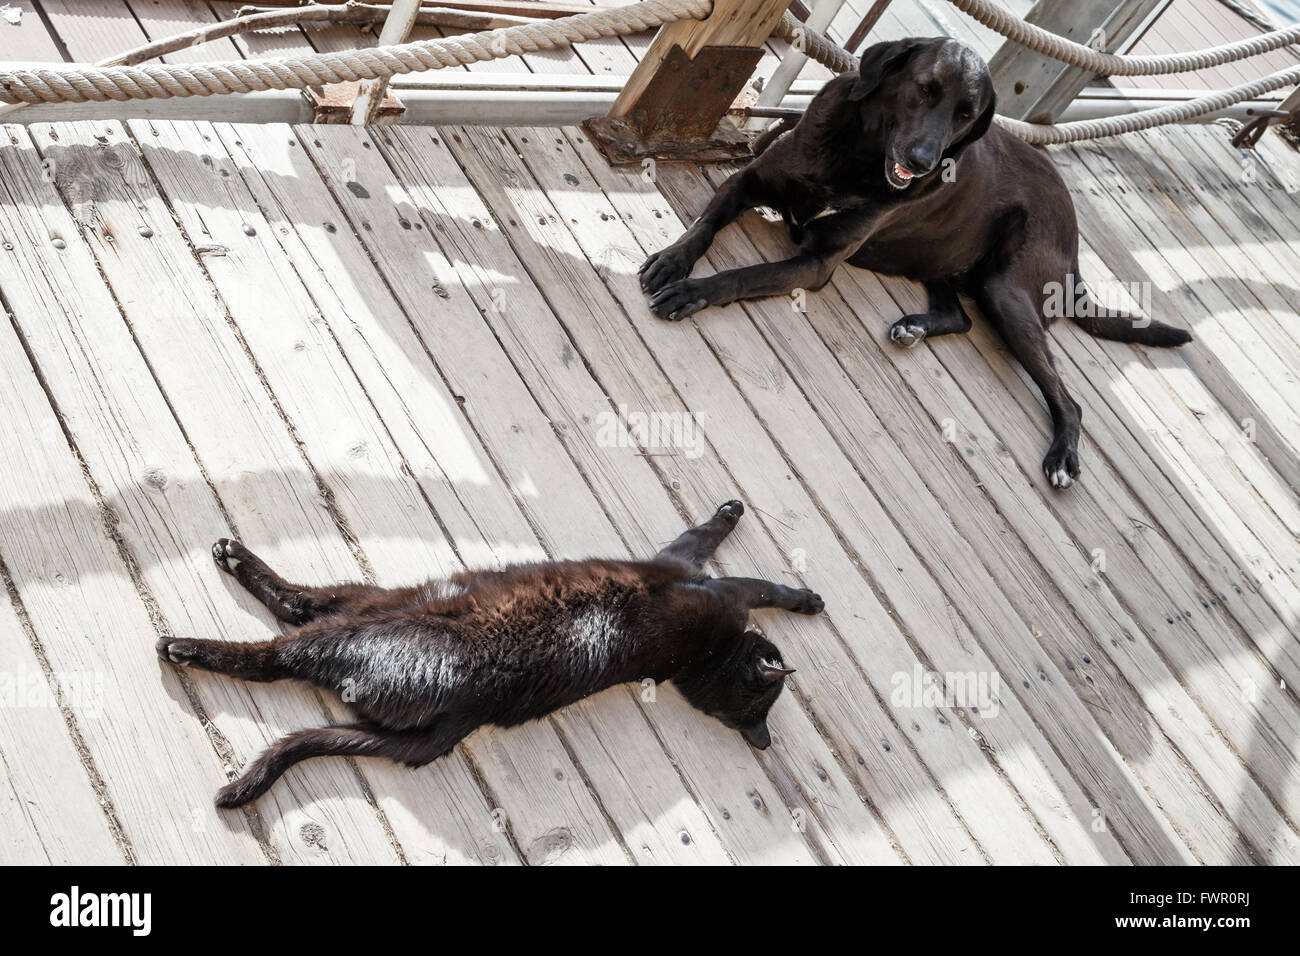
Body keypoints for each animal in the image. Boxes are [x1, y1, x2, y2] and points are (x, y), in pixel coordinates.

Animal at [154, 502, 821, 806]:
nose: (761, 738)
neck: (704, 661)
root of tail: (463, 715)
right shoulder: (690, 571)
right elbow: (731, 555)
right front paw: (807, 595)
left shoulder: (703, 576)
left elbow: (755, 577)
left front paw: (802, 594)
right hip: (374, 597)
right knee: (298, 600)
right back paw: (233, 558)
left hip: (355, 628)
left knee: (275, 654)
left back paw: (184, 644)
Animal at [637, 35, 1190, 486]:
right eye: (926, 89)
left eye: (967, 114)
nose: (924, 162)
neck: (858, 154)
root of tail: (1074, 234)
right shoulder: (747, 180)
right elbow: (705, 224)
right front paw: (672, 261)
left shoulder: (815, 265)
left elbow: (742, 275)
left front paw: (690, 292)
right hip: (944, 262)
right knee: (960, 316)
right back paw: (916, 327)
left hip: (1005, 290)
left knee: (1068, 400)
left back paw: (1061, 459)